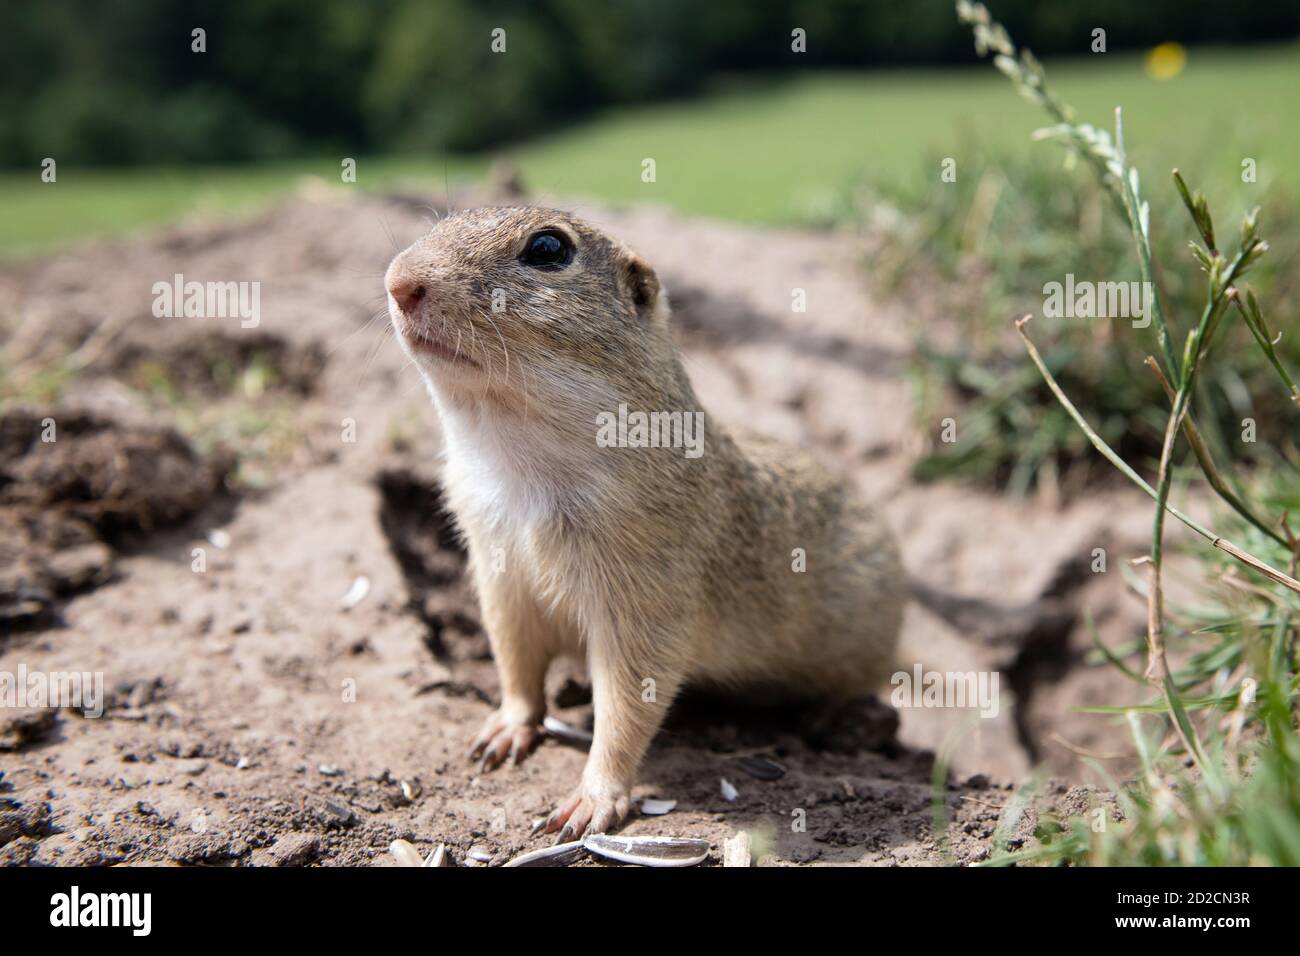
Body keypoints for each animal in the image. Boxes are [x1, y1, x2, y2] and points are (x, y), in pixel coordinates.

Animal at [379, 208, 899, 837]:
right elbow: (516, 664)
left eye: (548, 249)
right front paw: (504, 730)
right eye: (447, 218)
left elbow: (629, 702)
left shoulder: (647, 596)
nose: (399, 281)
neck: (515, 460)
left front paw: (592, 800)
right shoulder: (500, 578)